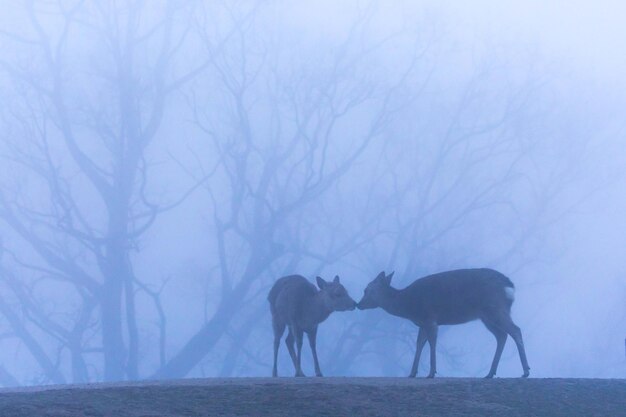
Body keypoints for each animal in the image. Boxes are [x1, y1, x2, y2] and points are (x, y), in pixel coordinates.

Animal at [356, 268, 528, 378]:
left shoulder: (430, 318)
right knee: (502, 335)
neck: (408, 305)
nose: (359, 304)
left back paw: (525, 371)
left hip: (494, 307)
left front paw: (431, 373)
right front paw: (412, 373)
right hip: (487, 316)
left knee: (515, 330)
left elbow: (432, 342)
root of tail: (509, 285)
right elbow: (419, 344)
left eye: (366, 290)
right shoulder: (422, 323)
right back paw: (490, 373)